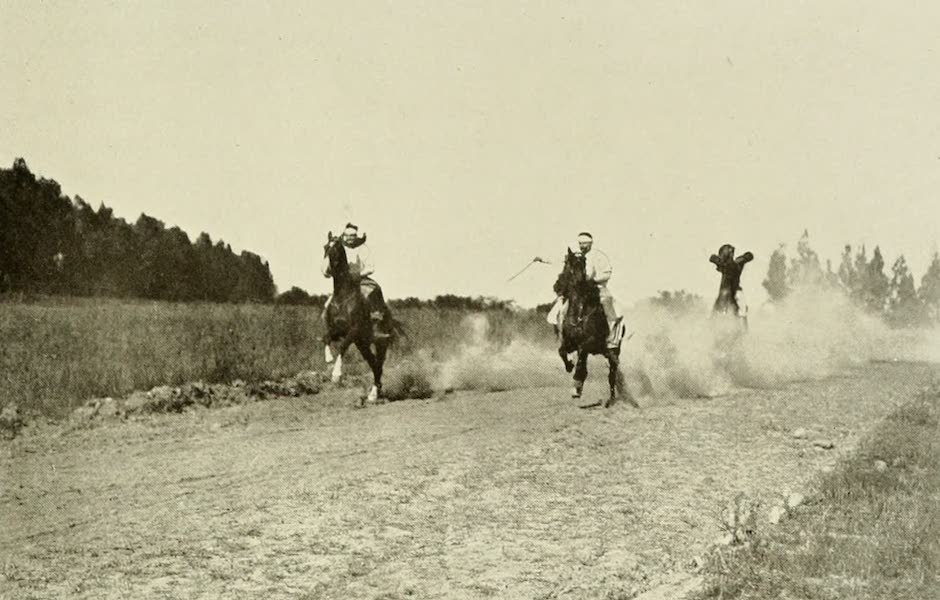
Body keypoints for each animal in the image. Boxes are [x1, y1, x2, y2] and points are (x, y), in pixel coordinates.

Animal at [324, 232, 400, 406]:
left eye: (337, 247)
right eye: (325, 247)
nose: (327, 270)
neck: (343, 298)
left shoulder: (353, 331)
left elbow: (343, 346)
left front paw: (336, 375)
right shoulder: (337, 330)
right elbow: (326, 338)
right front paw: (328, 358)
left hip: (380, 343)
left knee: (378, 365)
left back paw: (373, 395)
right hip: (363, 344)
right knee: (374, 364)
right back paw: (375, 393)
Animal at [556, 247, 636, 408]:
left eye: (582, 263)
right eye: (567, 264)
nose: (557, 286)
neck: (580, 310)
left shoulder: (587, 344)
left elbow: (581, 363)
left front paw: (577, 386)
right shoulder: (570, 342)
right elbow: (562, 352)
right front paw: (569, 366)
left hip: (613, 352)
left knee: (612, 376)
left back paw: (611, 400)